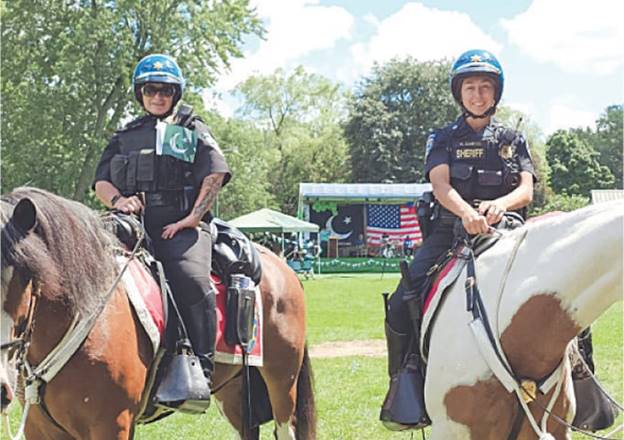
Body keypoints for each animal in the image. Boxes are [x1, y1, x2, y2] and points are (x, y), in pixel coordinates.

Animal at [0, 187, 312, 438]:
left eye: (27, 276)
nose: (1, 387)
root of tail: (279, 264)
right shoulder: (39, 429)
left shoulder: (113, 425)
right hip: (234, 391)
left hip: (282, 383)